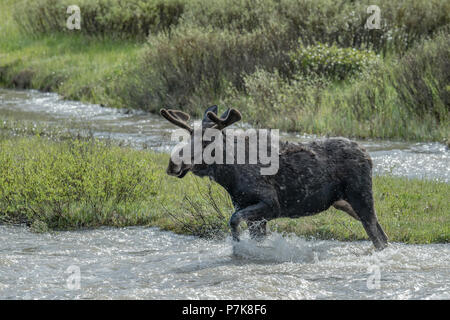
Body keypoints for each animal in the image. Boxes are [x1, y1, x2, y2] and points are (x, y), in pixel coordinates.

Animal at [160, 105, 388, 250]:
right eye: (189, 137)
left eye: (207, 141)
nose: (173, 163)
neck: (229, 175)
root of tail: (368, 155)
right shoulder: (251, 212)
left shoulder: (271, 204)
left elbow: (233, 220)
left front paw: (238, 244)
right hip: (345, 203)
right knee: (382, 235)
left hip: (361, 197)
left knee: (378, 237)